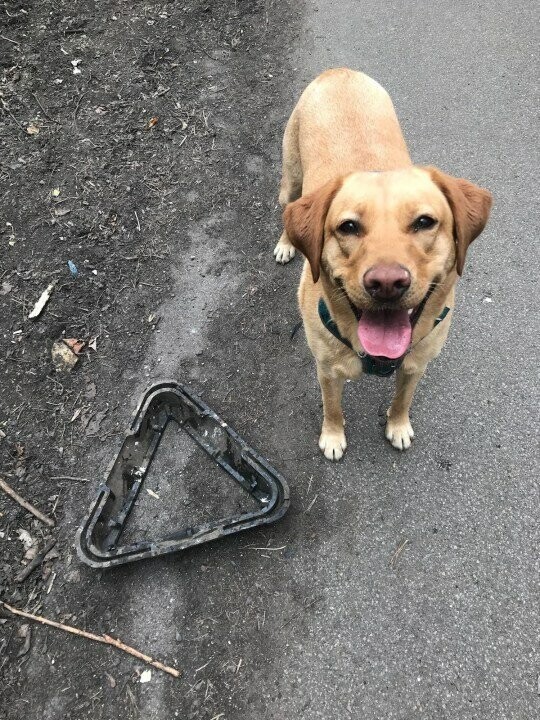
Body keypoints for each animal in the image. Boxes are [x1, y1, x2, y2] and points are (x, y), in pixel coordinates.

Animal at [276, 69, 492, 462]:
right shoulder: (326, 371)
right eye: (348, 226)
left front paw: (398, 425)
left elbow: (403, 398)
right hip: (292, 179)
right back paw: (286, 243)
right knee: (286, 208)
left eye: (425, 222)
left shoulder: (417, 364)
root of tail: (339, 71)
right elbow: (333, 408)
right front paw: (333, 436)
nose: (387, 283)